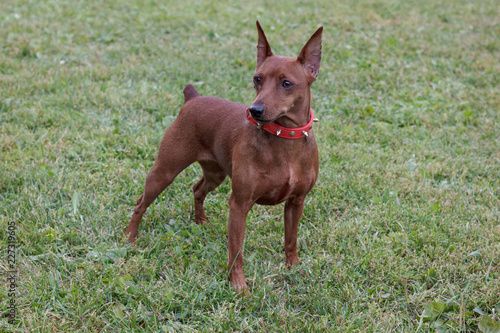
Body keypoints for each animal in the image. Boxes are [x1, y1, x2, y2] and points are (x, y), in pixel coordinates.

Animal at [127, 21, 322, 294]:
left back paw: (200, 221)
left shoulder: (296, 202)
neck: (284, 139)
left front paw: (293, 268)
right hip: (164, 171)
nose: (255, 110)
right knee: (140, 203)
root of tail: (193, 98)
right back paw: (130, 239)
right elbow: (236, 251)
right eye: (257, 79)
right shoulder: (239, 205)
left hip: (216, 173)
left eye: (286, 83)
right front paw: (239, 286)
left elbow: (291, 239)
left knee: (197, 188)